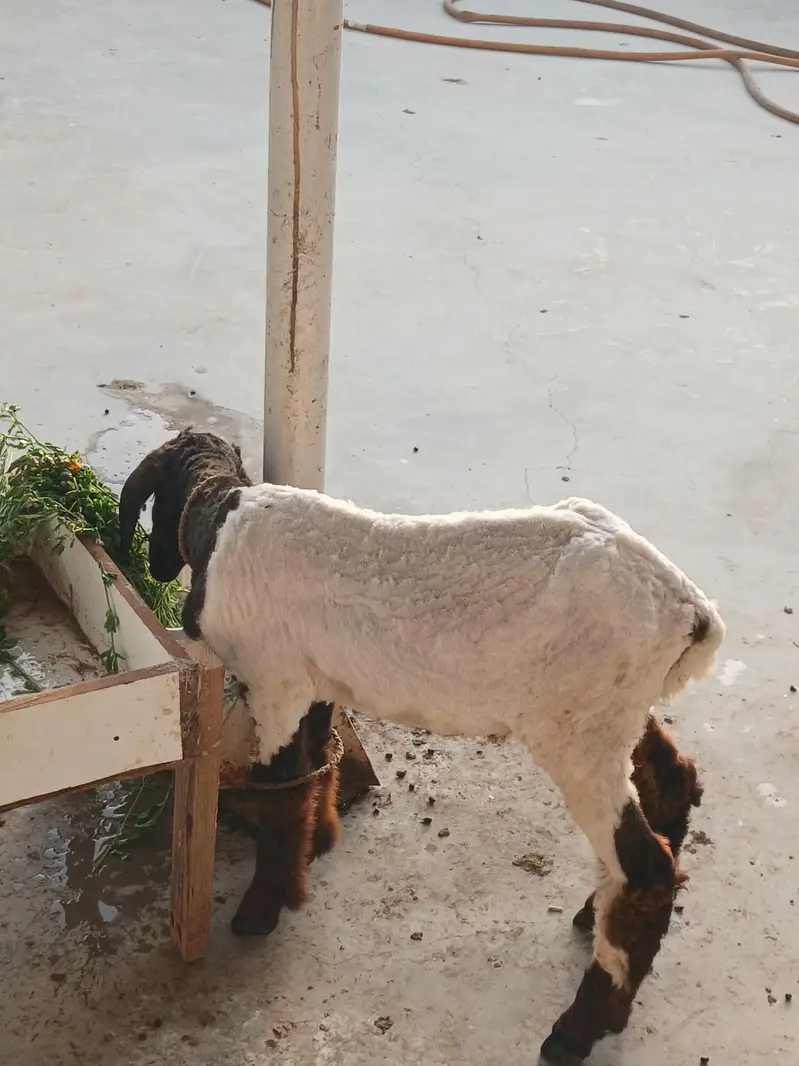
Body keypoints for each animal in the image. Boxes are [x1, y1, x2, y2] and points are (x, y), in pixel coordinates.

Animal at [119, 428, 724, 1066]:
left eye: (155, 499)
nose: (155, 566)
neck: (221, 520)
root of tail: (688, 609)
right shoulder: (317, 682)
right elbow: (317, 768)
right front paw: (319, 844)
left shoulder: (274, 680)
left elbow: (281, 795)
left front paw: (261, 910)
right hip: (615, 711)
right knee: (674, 782)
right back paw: (595, 917)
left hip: (577, 730)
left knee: (647, 866)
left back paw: (580, 1028)